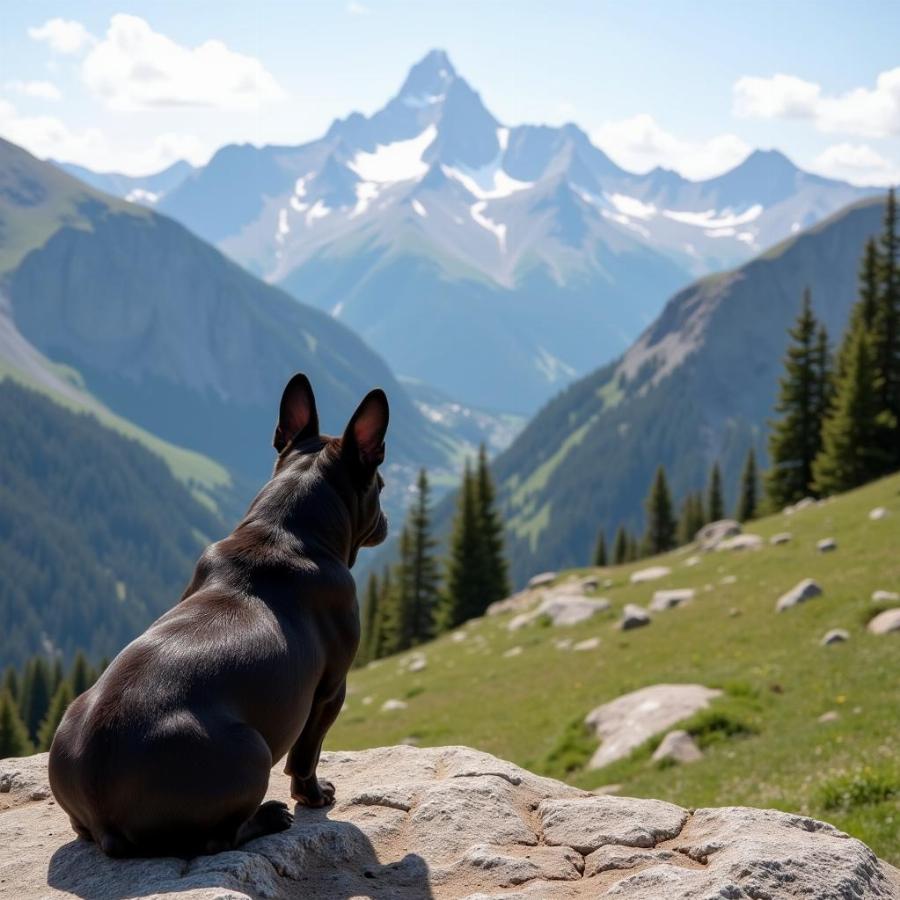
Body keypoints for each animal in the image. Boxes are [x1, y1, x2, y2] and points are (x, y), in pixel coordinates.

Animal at [49, 372, 386, 856]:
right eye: (381, 486)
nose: (387, 521)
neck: (283, 530)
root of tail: (103, 811)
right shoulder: (330, 689)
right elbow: (307, 753)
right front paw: (314, 796)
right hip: (252, 751)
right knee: (219, 837)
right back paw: (269, 817)